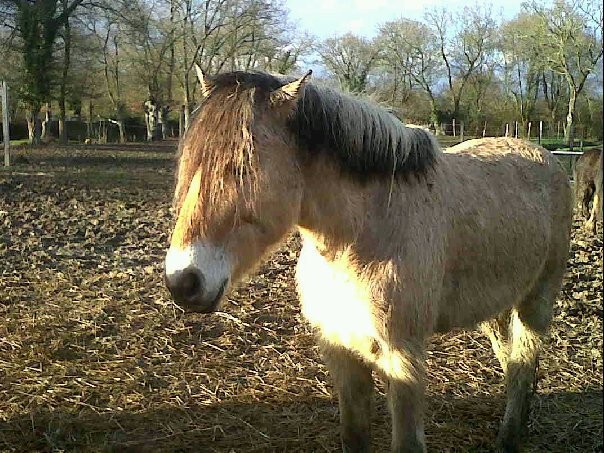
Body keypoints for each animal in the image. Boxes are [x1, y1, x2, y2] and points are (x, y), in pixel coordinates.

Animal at [163, 67, 572, 452]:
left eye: (241, 168)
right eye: (188, 164)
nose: (183, 281)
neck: (363, 236)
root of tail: (544, 156)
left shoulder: (403, 356)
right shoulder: (340, 348)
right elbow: (354, 435)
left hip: (537, 300)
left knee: (524, 363)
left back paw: (509, 438)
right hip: (497, 305)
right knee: (511, 359)